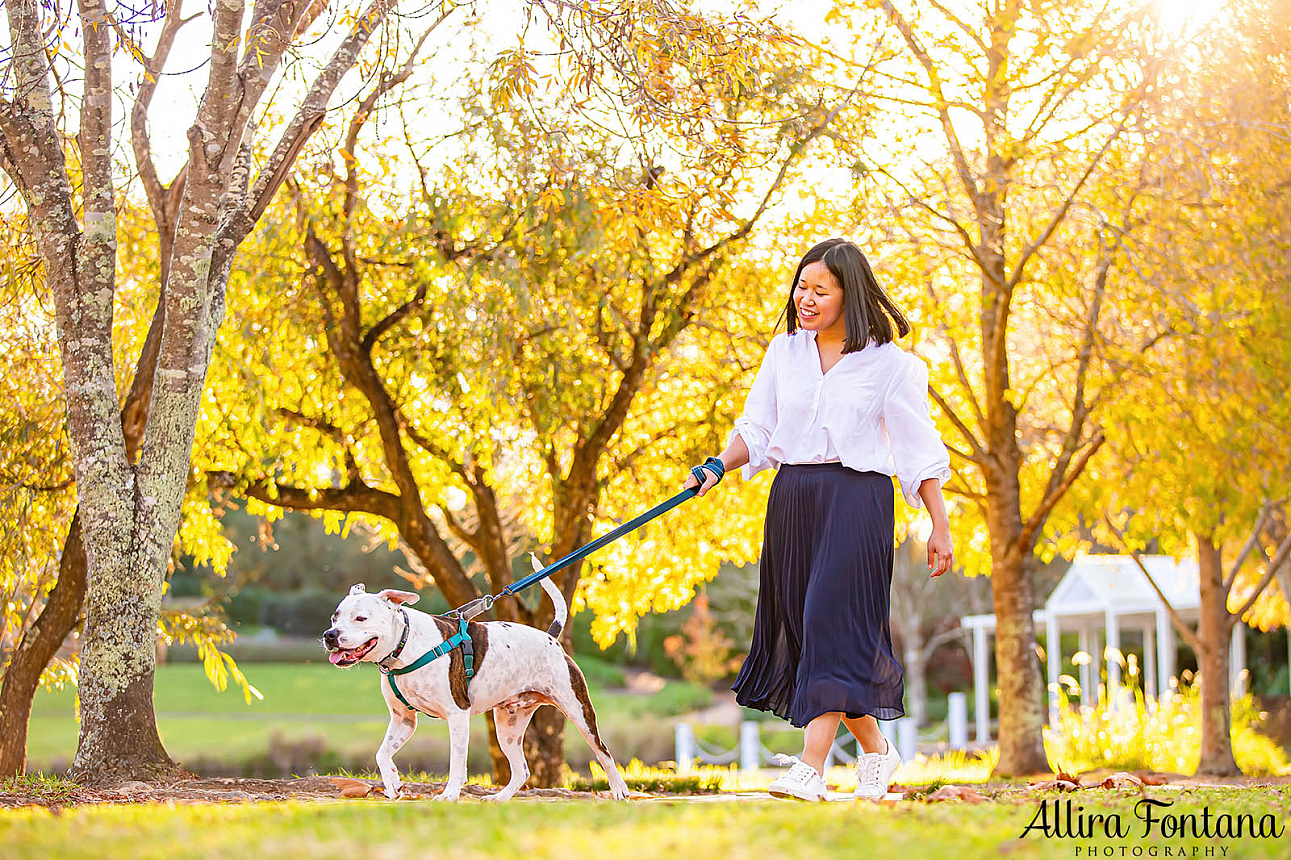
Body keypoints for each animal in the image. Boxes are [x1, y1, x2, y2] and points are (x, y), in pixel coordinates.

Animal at [320, 573, 627, 800]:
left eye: (361, 618)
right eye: (335, 616)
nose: (330, 635)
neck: (404, 646)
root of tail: (550, 638)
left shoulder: (457, 715)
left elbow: (457, 760)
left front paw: (449, 795)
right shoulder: (403, 720)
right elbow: (382, 753)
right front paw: (393, 783)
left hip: (578, 711)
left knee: (603, 752)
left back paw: (620, 791)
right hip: (508, 726)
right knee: (522, 770)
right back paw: (499, 799)